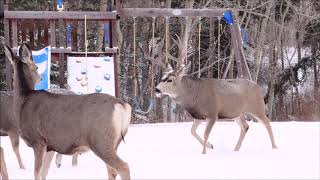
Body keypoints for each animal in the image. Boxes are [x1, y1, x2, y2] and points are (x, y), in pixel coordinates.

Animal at [4, 43, 131, 180]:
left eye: (37, 66)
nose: (40, 78)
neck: (23, 101)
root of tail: (123, 106)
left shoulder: (38, 140)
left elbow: (37, 173)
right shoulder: (50, 146)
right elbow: (44, 172)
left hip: (101, 140)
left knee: (124, 167)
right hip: (112, 143)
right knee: (112, 170)